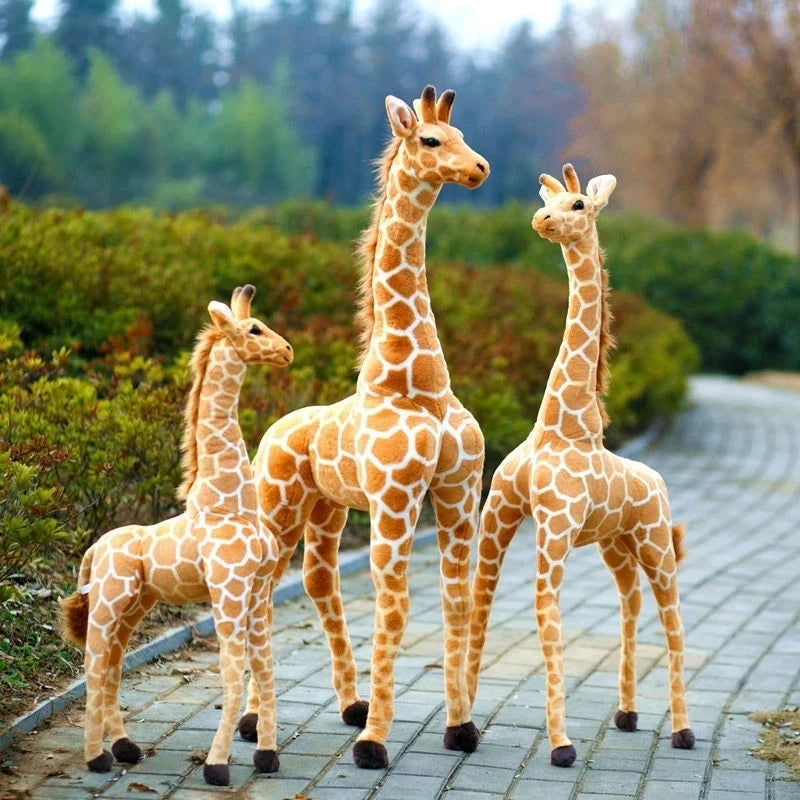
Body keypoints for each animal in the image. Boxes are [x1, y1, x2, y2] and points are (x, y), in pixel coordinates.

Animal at [59, 285, 293, 786]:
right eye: (254, 329)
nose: (287, 350)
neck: (231, 502)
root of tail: (92, 549)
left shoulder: (258, 590)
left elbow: (265, 668)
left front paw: (267, 757)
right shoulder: (228, 590)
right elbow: (233, 672)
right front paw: (217, 767)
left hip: (136, 604)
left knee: (112, 664)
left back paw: (125, 747)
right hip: (108, 601)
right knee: (93, 663)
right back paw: (97, 758)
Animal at [237, 85, 490, 769]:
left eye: (462, 136)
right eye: (430, 139)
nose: (479, 168)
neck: (417, 383)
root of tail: (272, 430)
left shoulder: (458, 493)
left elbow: (456, 601)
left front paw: (460, 728)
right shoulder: (395, 498)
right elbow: (395, 605)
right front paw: (376, 741)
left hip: (326, 511)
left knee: (318, 581)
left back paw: (347, 705)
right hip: (278, 507)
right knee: (260, 592)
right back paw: (251, 721)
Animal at [466, 164, 695, 767]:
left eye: (576, 204)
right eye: (545, 199)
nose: (542, 219)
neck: (559, 426)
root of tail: (658, 479)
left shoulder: (555, 526)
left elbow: (548, 617)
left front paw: (561, 745)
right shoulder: (499, 514)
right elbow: (481, 602)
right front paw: (462, 725)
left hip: (657, 542)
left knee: (673, 618)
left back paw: (684, 731)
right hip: (617, 545)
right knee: (629, 604)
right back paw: (628, 714)